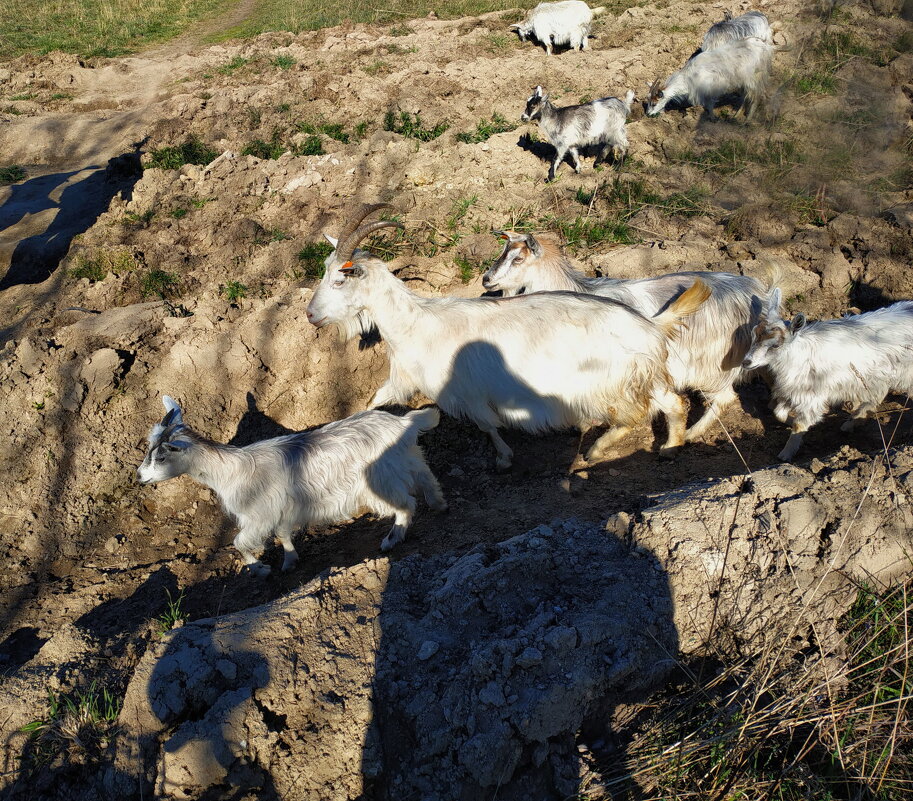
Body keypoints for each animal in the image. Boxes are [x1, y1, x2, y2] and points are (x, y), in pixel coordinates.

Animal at [302, 205, 708, 468]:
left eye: (339, 280)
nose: (310, 315)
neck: (416, 324)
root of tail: (650, 325)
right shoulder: (402, 382)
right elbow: (375, 402)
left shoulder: (465, 392)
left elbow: (487, 425)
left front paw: (503, 459)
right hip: (640, 374)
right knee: (673, 403)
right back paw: (669, 448)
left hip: (610, 384)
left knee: (636, 415)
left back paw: (596, 451)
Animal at [480, 231, 764, 440]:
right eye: (502, 253)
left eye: (518, 259)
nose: (486, 280)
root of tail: (752, 290)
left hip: (710, 364)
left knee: (725, 398)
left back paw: (692, 434)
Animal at [644, 36, 772, 119]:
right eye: (648, 101)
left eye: (654, 103)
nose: (648, 114)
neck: (688, 77)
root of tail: (764, 45)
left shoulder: (710, 89)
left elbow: (709, 105)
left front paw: (712, 119)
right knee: (747, 96)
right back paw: (736, 116)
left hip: (754, 76)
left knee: (756, 95)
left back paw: (747, 120)